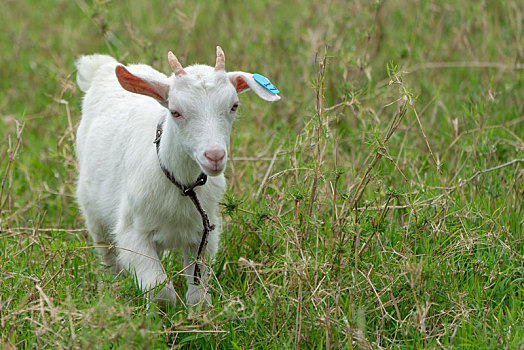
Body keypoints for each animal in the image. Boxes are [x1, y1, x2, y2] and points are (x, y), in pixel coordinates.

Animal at [74, 46, 278, 306]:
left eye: (234, 106)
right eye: (175, 112)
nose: (214, 156)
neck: (182, 185)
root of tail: (101, 68)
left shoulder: (203, 234)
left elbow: (197, 290)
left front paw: (198, 311)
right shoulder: (133, 233)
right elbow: (158, 287)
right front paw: (164, 313)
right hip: (94, 212)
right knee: (107, 257)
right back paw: (110, 291)